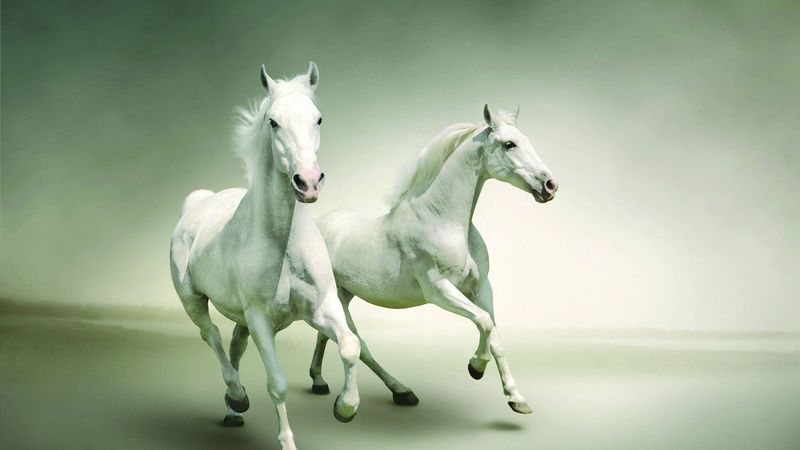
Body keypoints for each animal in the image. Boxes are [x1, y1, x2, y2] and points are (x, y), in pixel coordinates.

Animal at [169, 62, 360, 450]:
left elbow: (350, 346)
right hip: (192, 300)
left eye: (318, 119)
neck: (283, 244)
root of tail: (196, 203)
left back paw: (232, 410)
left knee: (234, 345)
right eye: (273, 122)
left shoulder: (322, 308)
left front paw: (345, 407)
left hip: (240, 317)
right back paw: (237, 396)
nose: (308, 182)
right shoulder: (260, 321)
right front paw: (287, 441)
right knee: (211, 336)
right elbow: (278, 384)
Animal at [307, 105, 558, 415]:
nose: (550, 185)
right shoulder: (439, 290)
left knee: (327, 335)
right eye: (509, 144)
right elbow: (484, 322)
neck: (442, 220)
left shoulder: (481, 287)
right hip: (338, 299)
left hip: (343, 295)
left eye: (526, 139)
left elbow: (495, 334)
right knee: (358, 344)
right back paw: (398, 391)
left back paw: (320, 381)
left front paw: (516, 398)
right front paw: (476, 367)